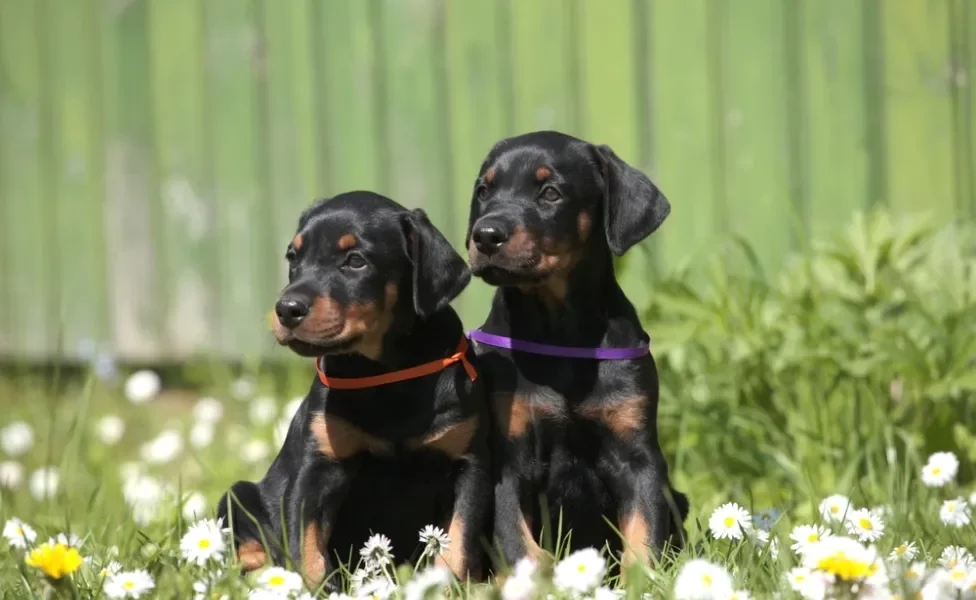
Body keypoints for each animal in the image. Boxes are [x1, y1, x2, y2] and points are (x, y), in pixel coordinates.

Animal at [215, 193, 486, 592]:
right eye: (293, 258)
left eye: (355, 260)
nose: (286, 309)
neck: (384, 373)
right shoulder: (317, 467)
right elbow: (305, 546)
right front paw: (311, 590)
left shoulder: (467, 462)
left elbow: (460, 542)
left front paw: (449, 587)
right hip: (242, 495)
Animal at [464, 130, 688, 572]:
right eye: (484, 191)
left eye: (550, 193)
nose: (485, 234)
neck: (560, 333)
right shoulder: (508, 457)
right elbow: (517, 541)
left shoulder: (638, 455)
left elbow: (644, 533)